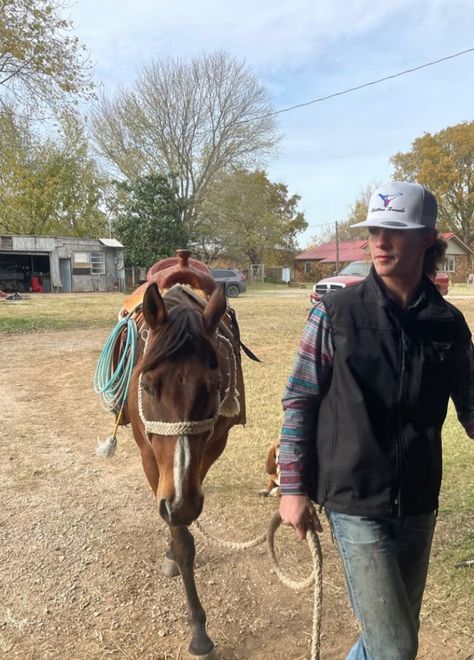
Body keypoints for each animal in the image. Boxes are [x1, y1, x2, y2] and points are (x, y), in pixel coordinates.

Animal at [127, 282, 244, 656]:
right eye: (147, 386)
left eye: (214, 386)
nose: (179, 504)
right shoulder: (150, 459)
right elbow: (181, 541)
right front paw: (198, 630)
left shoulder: (209, 451)